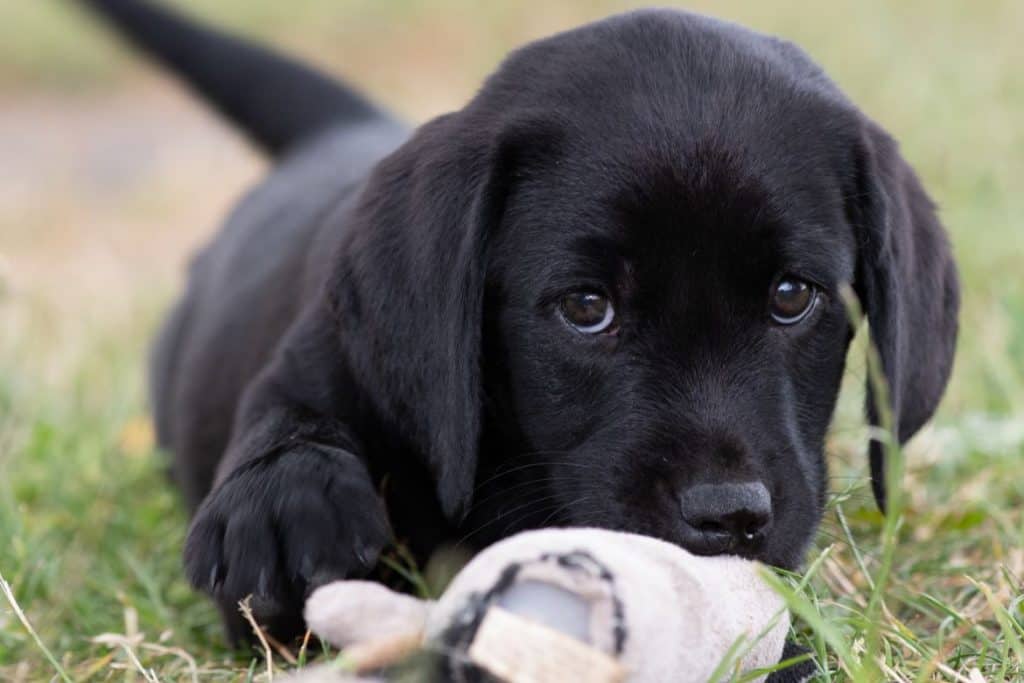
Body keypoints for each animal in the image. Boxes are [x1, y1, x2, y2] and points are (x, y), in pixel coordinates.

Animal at [81, 0, 958, 651]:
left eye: (790, 295)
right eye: (586, 307)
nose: (727, 516)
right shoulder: (326, 356)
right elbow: (287, 420)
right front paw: (282, 501)